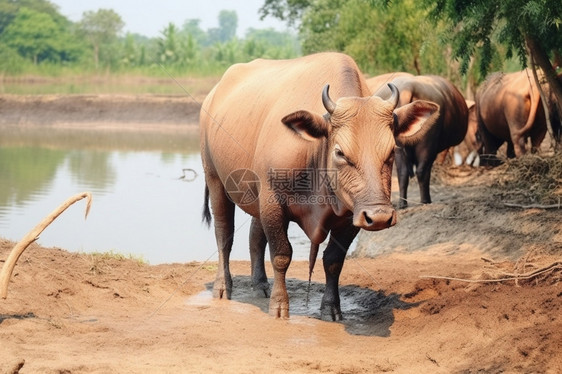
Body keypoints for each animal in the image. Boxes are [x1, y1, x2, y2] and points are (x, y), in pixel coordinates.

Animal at [199, 52, 440, 320]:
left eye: (391, 151)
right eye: (340, 152)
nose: (379, 217)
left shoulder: (351, 213)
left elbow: (333, 260)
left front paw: (331, 307)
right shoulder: (273, 201)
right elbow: (281, 254)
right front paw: (279, 305)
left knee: (255, 237)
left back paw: (260, 284)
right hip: (215, 180)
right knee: (224, 235)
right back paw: (223, 286)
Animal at [368, 74, 468, 209]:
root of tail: (408, 88)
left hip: (398, 147)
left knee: (402, 173)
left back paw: (402, 203)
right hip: (427, 143)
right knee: (422, 171)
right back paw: (425, 200)